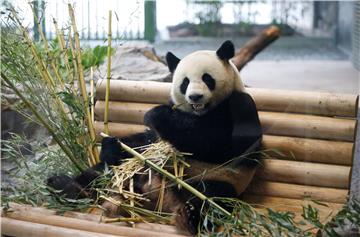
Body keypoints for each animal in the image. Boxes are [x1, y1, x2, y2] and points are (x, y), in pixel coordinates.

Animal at [47, 39, 262, 234]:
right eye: (185, 82)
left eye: (207, 78)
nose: (195, 97)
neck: (200, 112)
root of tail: (158, 196)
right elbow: (147, 141)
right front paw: (111, 146)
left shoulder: (240, 105)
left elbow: (226, 147)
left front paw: (156, 115)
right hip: (133, 172)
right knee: (100, 173)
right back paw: (65, 187)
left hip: (210, 181)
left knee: (212, 197)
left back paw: (190, 216)